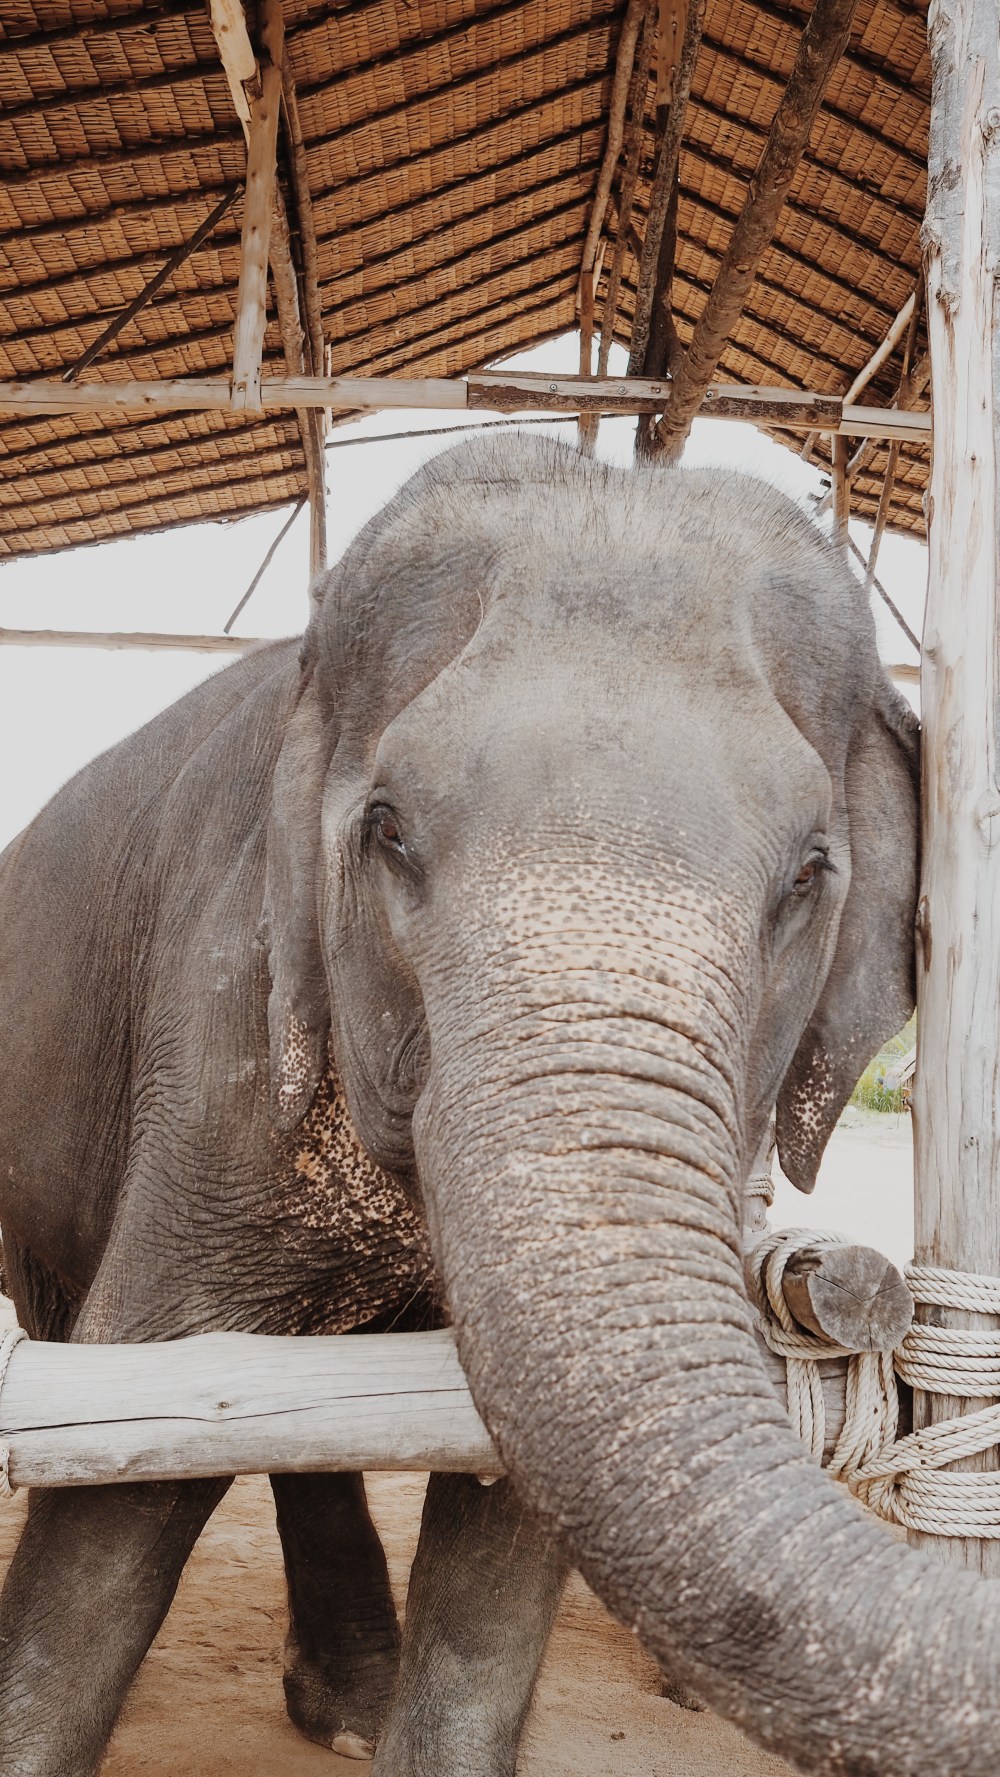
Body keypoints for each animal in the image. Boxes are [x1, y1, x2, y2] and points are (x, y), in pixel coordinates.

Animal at [0, 428, 985, 1777]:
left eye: (807, 874)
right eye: (388, 829)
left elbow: (502, 1514)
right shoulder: (218, 1047)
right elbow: (124, 1465)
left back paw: (349, 1708)